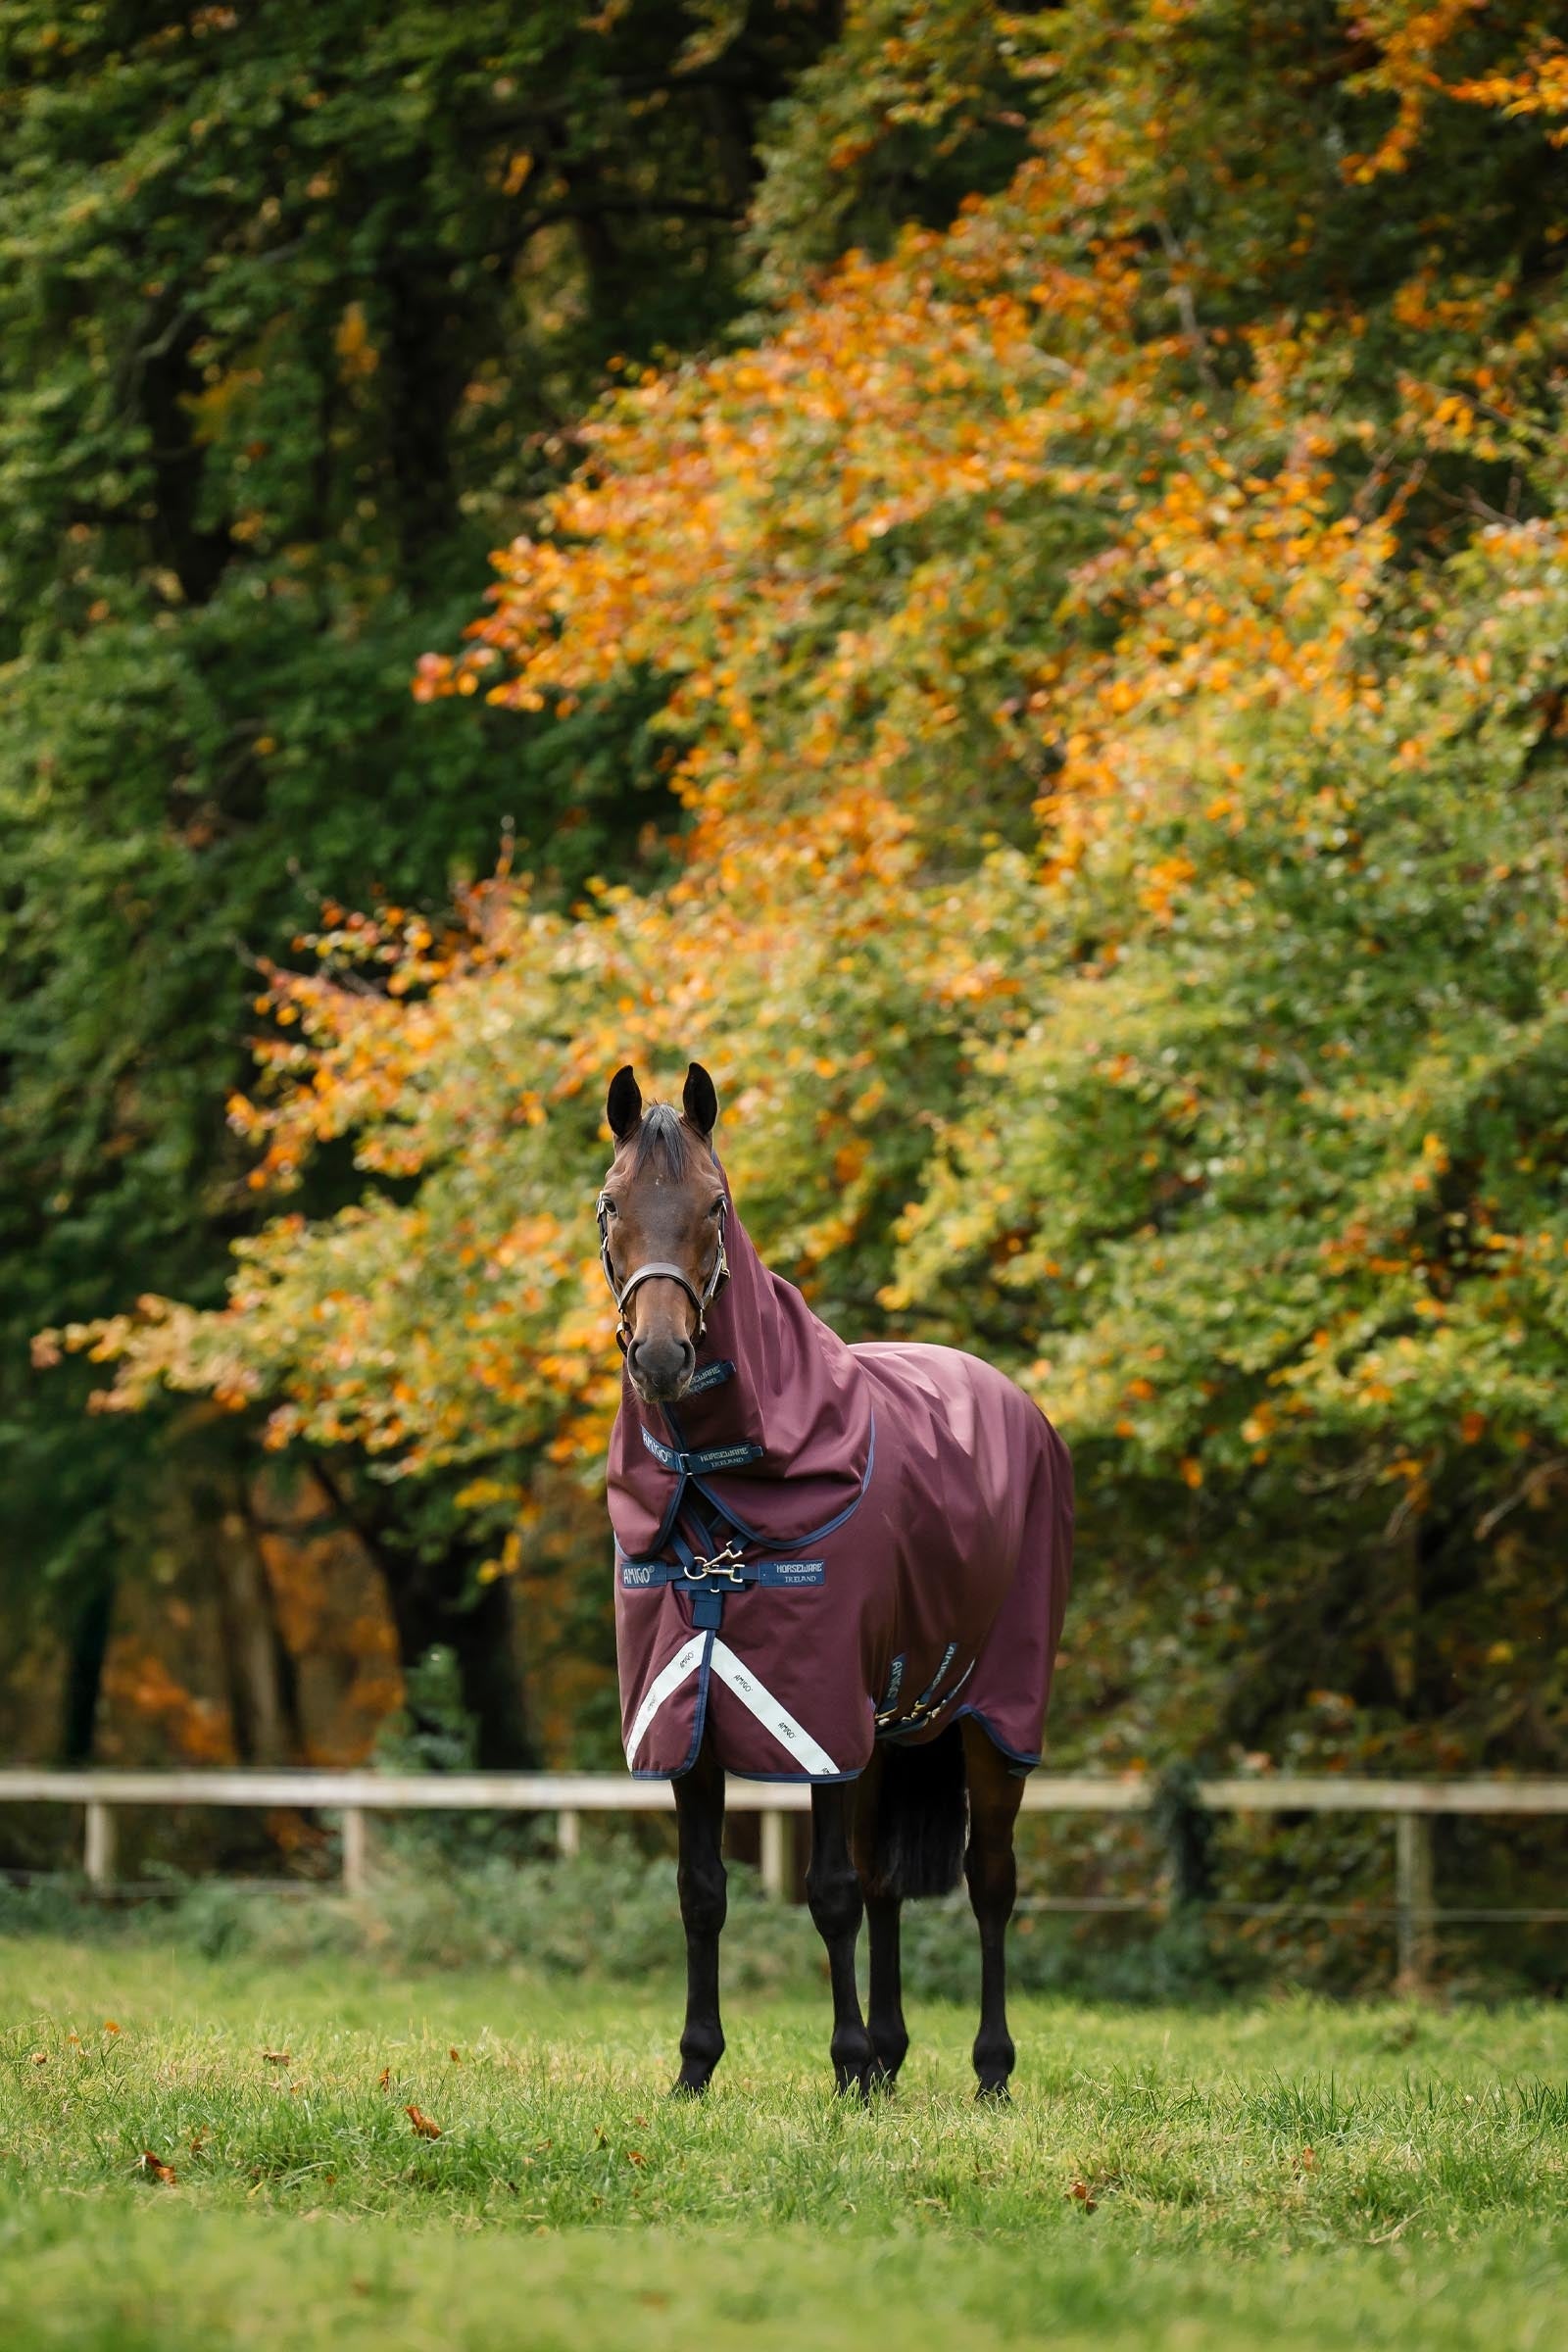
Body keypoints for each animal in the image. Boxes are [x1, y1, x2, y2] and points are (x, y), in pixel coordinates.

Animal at [599, 1062, 1072, 2099]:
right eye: (610, 1204)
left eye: (716, 1205)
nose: (661, 1357)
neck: (718, 1496)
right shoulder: (689, 1717)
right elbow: (703, 1892)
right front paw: (697, 2067)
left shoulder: (811, 1717)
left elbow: (828, 1893)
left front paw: (845, 2063)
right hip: (887, 1723)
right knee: (888, 1876)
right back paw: (892, 2060)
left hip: (997, 1715)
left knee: (990, 1879)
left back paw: (988, 2070)